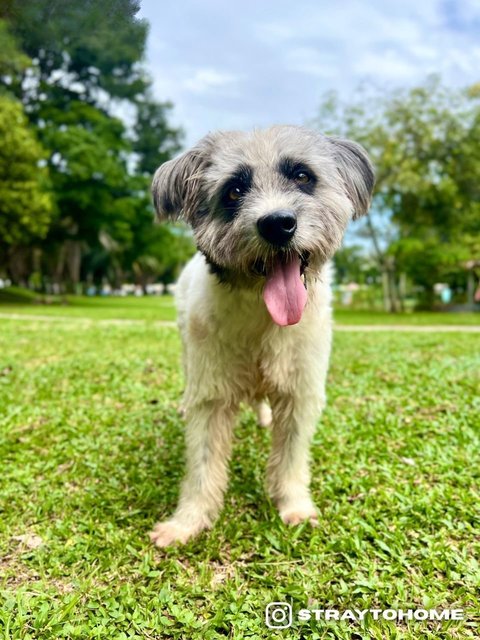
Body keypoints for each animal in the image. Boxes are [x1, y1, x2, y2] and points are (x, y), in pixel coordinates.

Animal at [148, 126, 374, 552]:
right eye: (234, 190)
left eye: (302, 176)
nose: (277, 224)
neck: (261, 316)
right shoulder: (212, 395)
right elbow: (202, 464)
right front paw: (187, 522)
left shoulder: (300, 392)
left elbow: (291, 457)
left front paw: (295, 507)